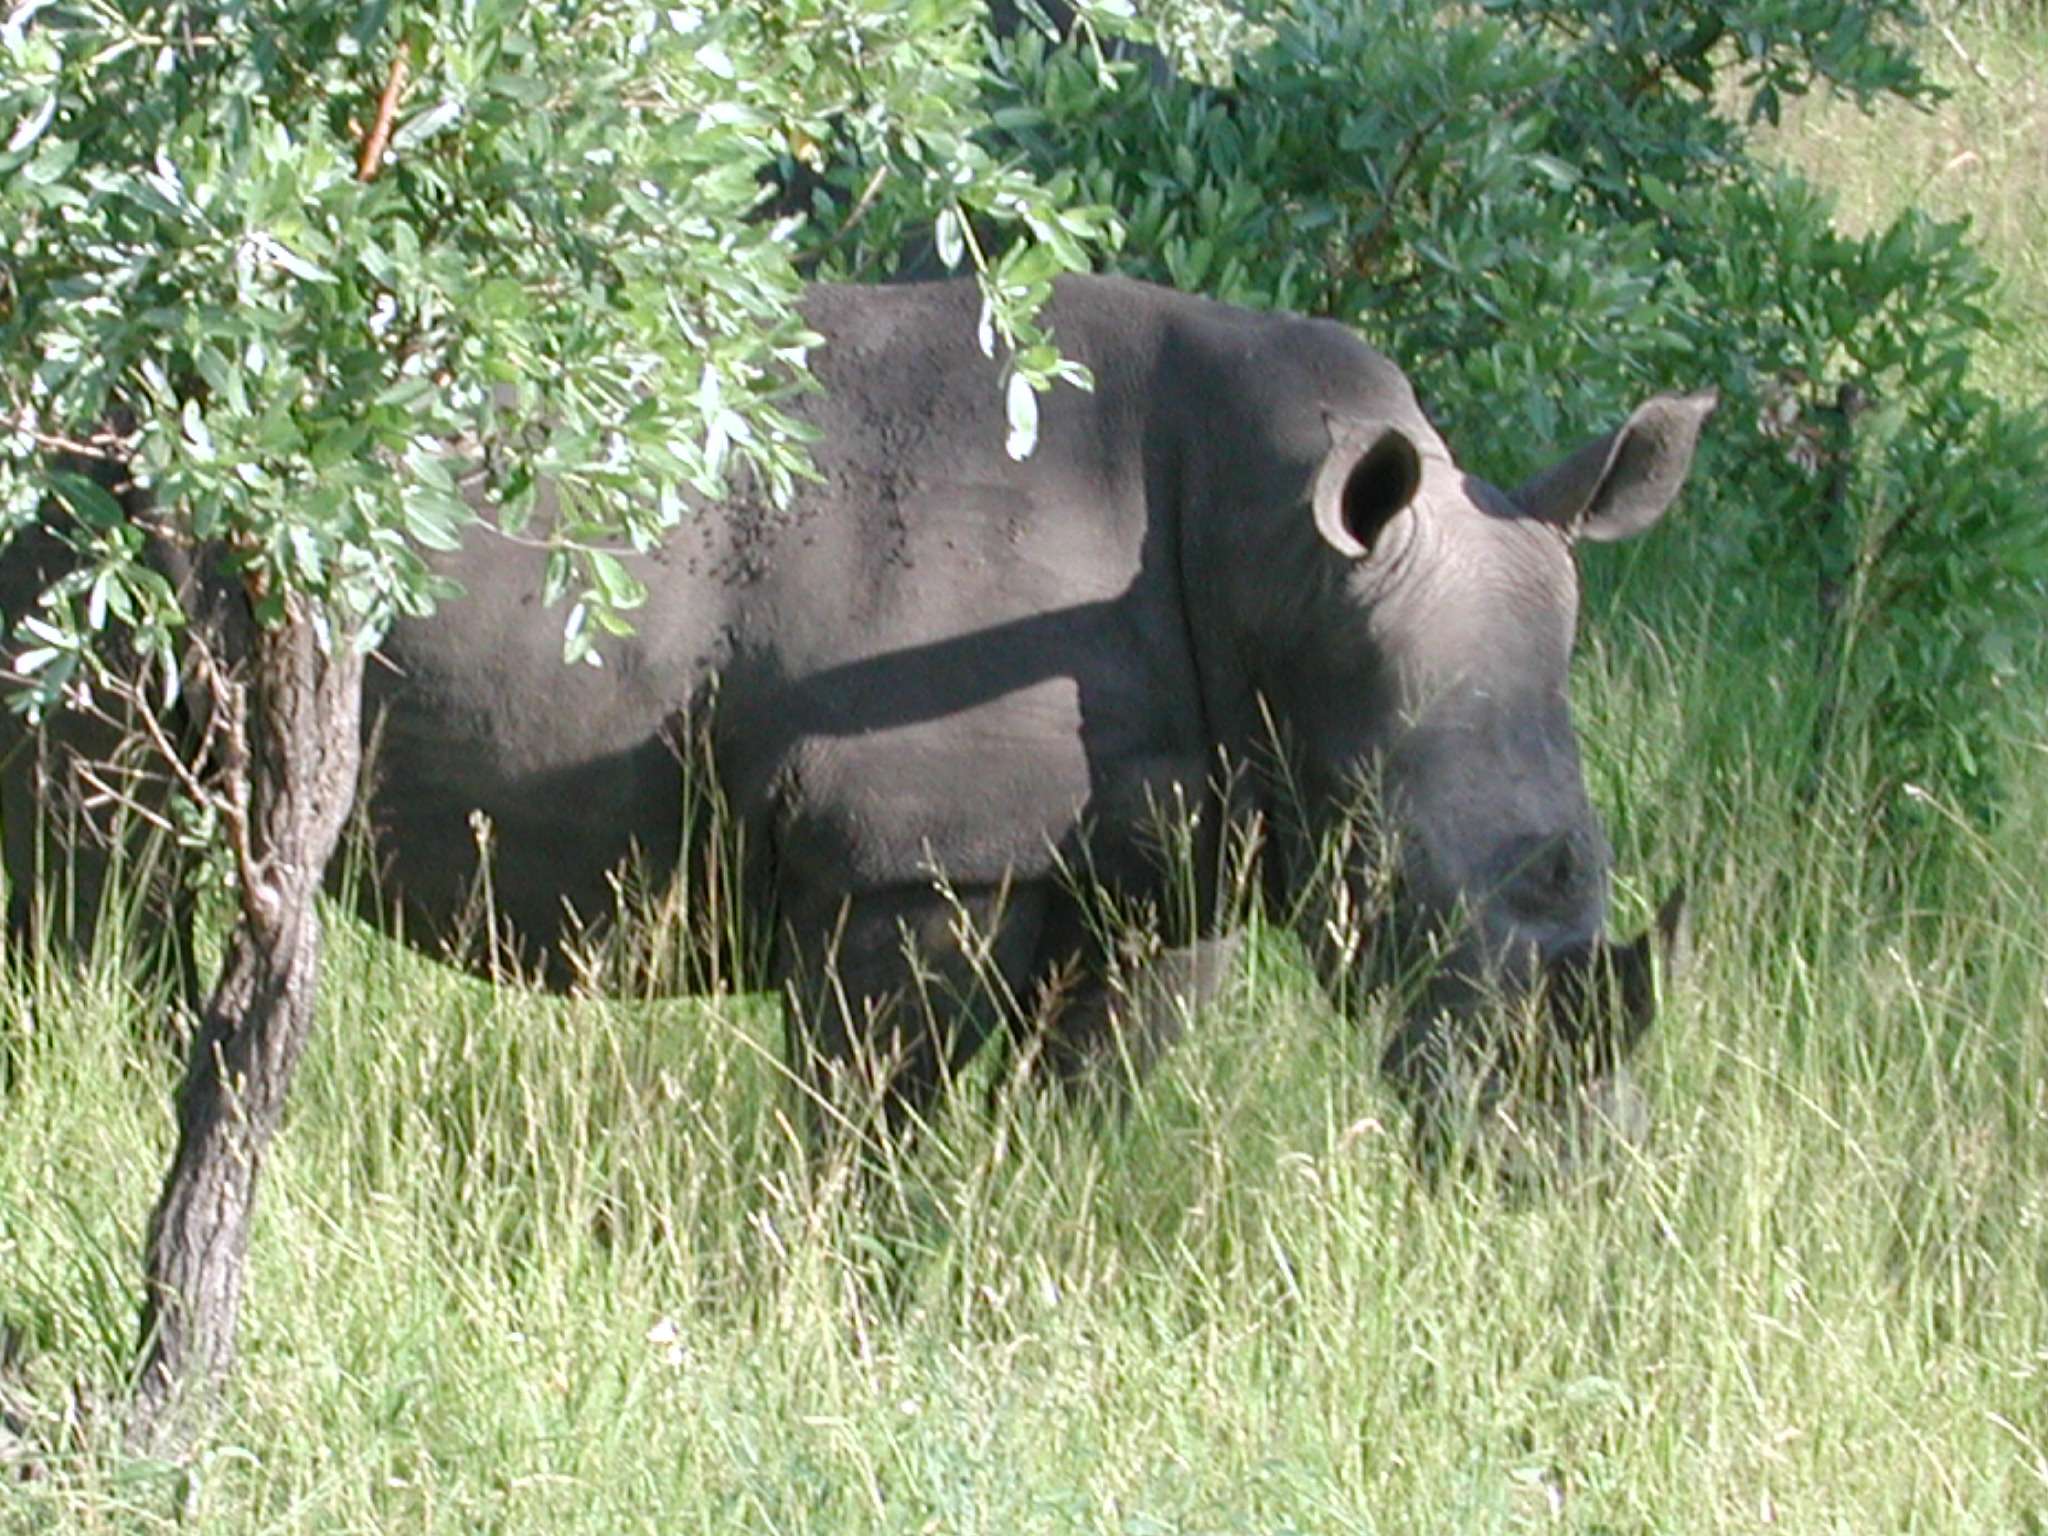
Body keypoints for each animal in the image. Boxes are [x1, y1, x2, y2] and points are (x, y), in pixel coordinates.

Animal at [3, 273, 1710, 1163]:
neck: (1292, 564)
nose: (1571, 1166)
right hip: (102, 516)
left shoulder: (1194, 845)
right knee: (98, 852)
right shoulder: (914, 854)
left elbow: (1093, 1086)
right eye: (1424, 894)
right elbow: (867, 1115)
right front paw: (850, 1276)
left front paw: (1044, 1221)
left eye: (1583, 860)